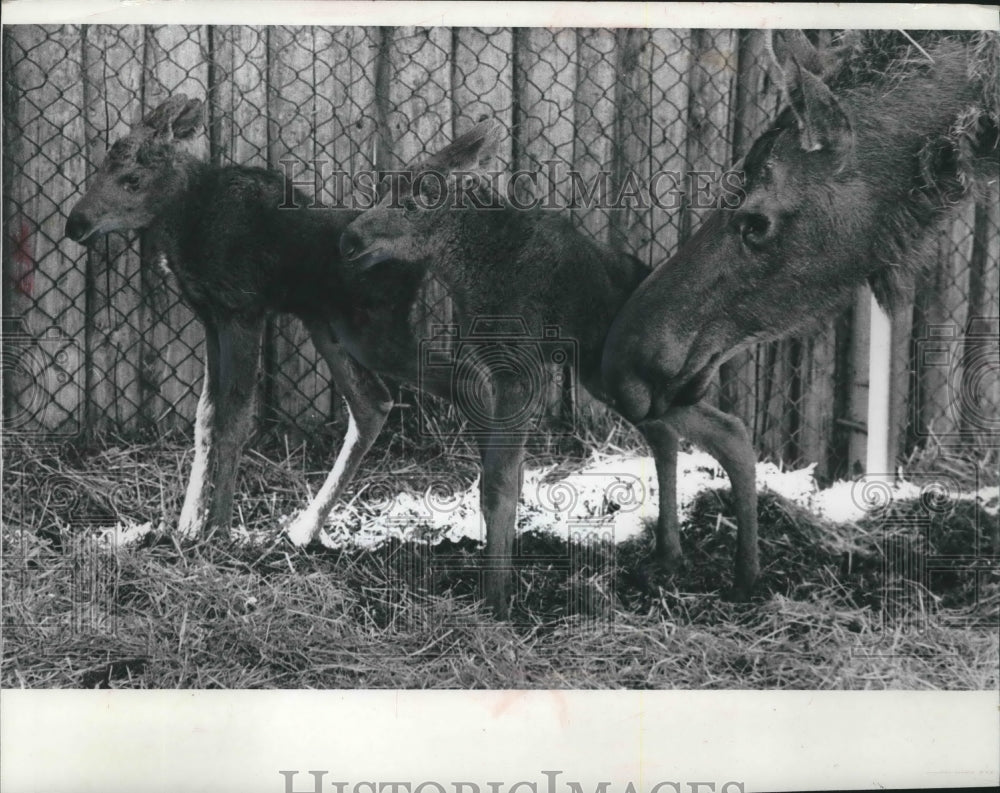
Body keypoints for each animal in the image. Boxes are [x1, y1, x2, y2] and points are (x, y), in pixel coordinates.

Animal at [340, 125, 760, 620]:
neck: (469, 274)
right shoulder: (486, 370)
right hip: (612, 381)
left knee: (731, 432)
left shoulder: (519, 373)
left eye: (415, 202)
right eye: (381, 190)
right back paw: (670, 555)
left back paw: (746, 578)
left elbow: (499, 484)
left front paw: (497, 599)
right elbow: (498, 477)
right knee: (668, 436)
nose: (350, 240)